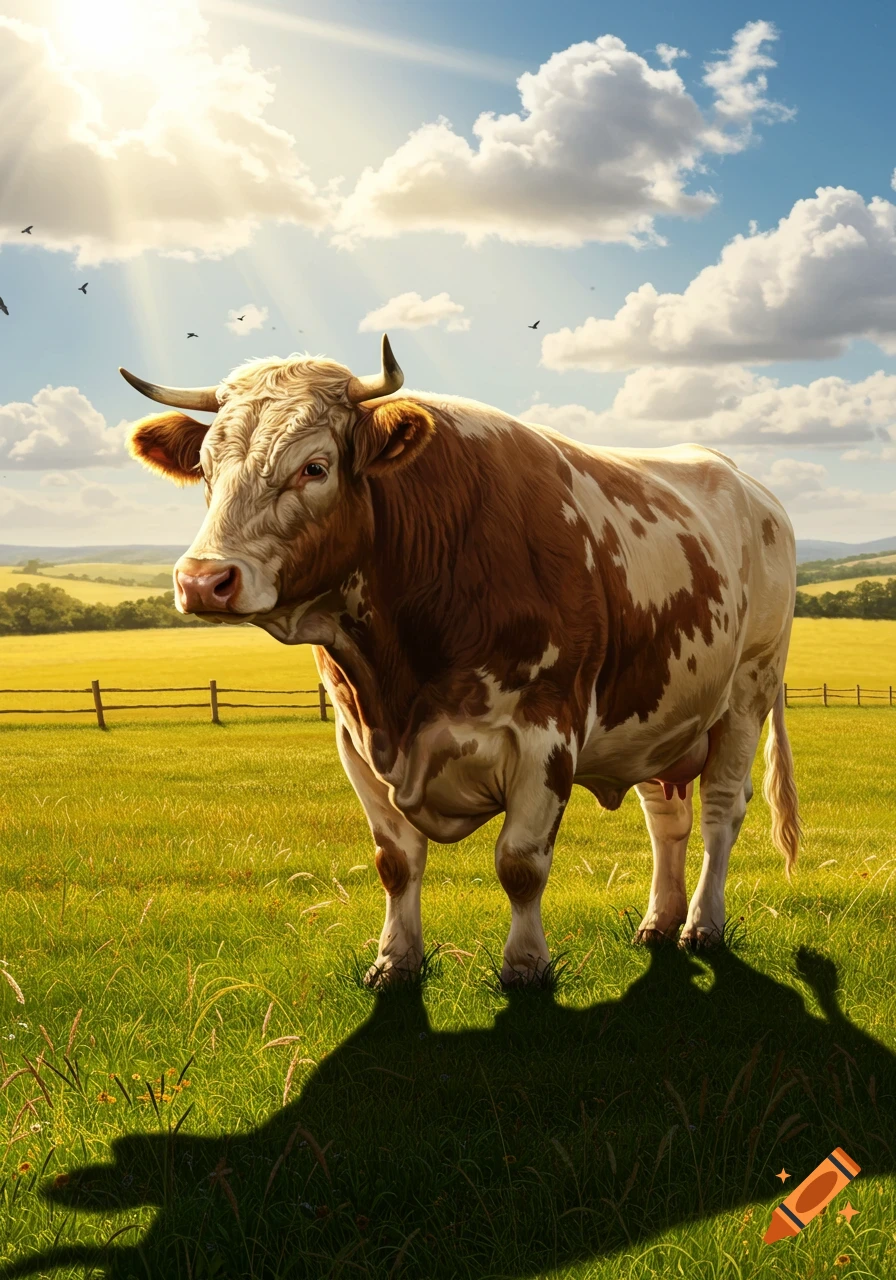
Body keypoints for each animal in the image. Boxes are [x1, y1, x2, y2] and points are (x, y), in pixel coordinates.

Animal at [121, 334, 800, 987]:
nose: (203, 581)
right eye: (206, 471)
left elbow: (520, 863)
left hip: (745, 695)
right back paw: (659, 923)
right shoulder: (354, 738)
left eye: (315, 467)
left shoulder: (546, 733)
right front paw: (395, 961)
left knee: (720, 811)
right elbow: (396, 862)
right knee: (667, 819)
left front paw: (525, 966)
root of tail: (755, 490)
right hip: (661, 717)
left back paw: (702, 925)